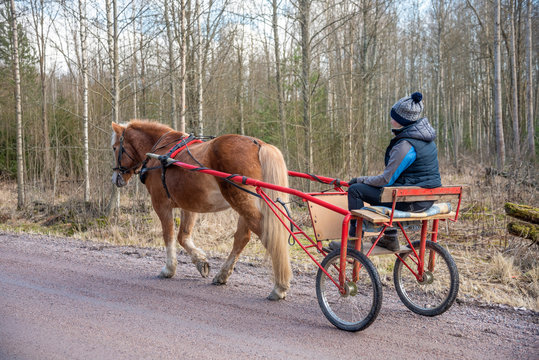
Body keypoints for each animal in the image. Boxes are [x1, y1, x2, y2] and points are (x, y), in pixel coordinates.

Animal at [110, 119, 296, 300]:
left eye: (114, 147)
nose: (116, 178)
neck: (160, 152)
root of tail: (259, 144)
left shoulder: (161, 204)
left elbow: (169, 235)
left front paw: (169, 269)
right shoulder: (189, 205)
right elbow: (183, 236)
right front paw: (201, 262)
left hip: (241, 200)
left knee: (267, 235)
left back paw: (279, 287)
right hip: (245, 204)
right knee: (241, 238)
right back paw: (222, 275)